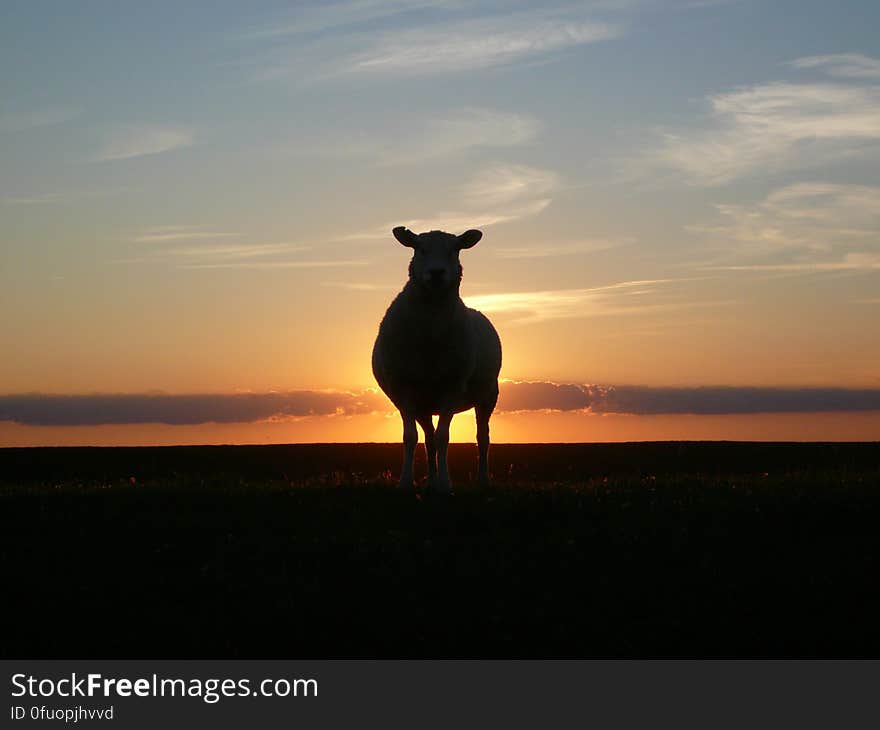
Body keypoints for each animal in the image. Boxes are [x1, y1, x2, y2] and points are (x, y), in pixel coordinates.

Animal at [372, 225, 502, 492]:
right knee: (428, 439)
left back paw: (482, 480)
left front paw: (444, 483)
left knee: (482, 437)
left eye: (455, 249)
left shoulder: (451, 387)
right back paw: (430, 480)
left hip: (488, 395)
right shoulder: (404, 389)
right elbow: (411, 438)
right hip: (423, 404)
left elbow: (444, 437)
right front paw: (406, 482)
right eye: (419, 248)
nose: (436, 273)